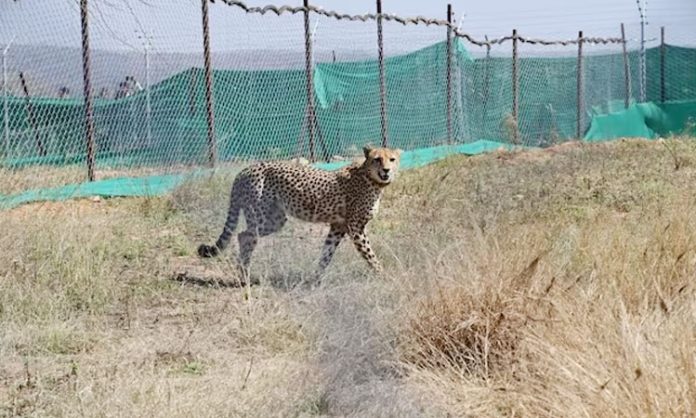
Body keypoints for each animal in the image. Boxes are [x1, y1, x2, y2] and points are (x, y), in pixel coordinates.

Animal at [197, 145, 402, 280]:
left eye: (392, 159)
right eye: (377, 159)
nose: (386, 170)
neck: (371, 178)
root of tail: (245, 169)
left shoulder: (338, 226)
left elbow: (326, 254)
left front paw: (315, 279)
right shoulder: (356, 227)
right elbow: (370, 255)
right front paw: (384, 276)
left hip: (276, 220)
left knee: (243, 235)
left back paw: (243, 273)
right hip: (260, 216)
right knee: (245, 236)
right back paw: (244, 274)